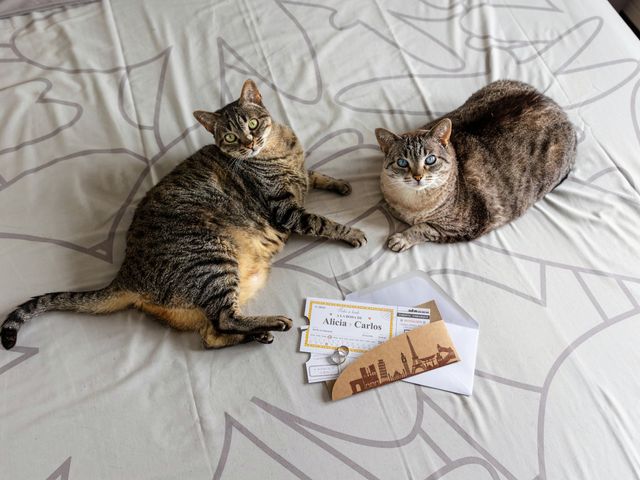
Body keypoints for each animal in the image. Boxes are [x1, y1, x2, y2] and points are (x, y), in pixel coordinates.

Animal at [1, 78, 364, 348]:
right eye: (229, 136)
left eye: (252, 122)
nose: (248, 143)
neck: (277, 149)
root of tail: (125, 275)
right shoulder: (285, 209)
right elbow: (321, 221)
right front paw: (352, 233)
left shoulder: (300, 177)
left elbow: (314, 175)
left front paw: (341, 184)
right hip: (213, 258)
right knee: (224, 319)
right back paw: (272, 322)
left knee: (212, 335)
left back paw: (259, 333)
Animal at [372, 79, 576, 251]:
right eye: (402, 162)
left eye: (430, 159)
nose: (417, 177)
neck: (411, 203)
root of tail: (561, 111)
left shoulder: (464, 225)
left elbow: (423, 228)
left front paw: (401, 238)